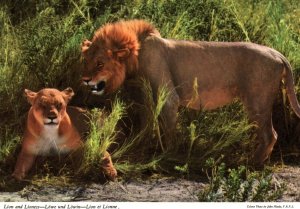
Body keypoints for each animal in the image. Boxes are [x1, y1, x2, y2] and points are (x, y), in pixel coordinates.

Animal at [80, 20, 300, 167]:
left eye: (100, 63)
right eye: (86, 61)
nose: (85, 79)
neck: (136, 55)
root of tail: (278, 53)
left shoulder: (169, 97)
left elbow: (168, 128)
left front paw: (167, 156)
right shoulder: (146, 96)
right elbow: (147, 124)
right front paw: (141, 147)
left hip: (257, 101)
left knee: (270, 134)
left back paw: (251, 163)